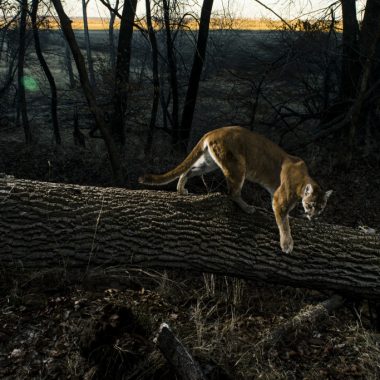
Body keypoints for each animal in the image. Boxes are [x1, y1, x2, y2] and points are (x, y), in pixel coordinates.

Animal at [140, 126, 332, 254]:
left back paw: (181, 189)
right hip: (237, 167)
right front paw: (287, 244)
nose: (314, 216)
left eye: (321, 207)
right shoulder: (279, 199)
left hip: (209, 163)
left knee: (189, 170)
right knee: (232, 192)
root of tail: (214, 131)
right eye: (312, 204)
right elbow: (283, 223)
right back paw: (247, 208)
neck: (302, 182)